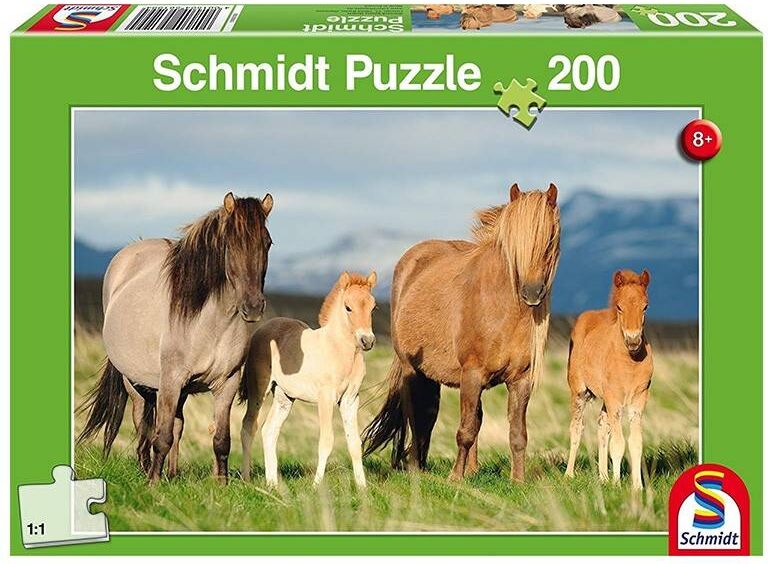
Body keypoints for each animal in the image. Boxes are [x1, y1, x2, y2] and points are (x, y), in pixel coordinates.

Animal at [77, 192, 274, 484]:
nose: (253, 307)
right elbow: (161, 436)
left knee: (177, 425)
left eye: (267, 243)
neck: (210, 323)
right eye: (230, 244)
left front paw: (222, 484)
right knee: (143, 425)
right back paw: (147, 470)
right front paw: (153, 484)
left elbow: (221, 440)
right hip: (134, 383)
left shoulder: (226, 383)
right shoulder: (170, 381)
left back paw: (172, 472)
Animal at [239, 271, 377, 488]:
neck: (339, 350)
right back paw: (247, 479)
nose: (367, 341)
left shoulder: (350, 399)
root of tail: (262, 329)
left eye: (373, 307)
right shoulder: (325, 398)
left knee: (269, 430)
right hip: (258, 389)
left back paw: (272, 483)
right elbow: (327, 441)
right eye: (348, 307)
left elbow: (354, 442)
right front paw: (317, 485)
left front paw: (362, 487)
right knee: (248, 427)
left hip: (284, 397)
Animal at [363, 184, 560, 482]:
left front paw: (518, 480)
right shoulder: (472, 375)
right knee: (418, 416)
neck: (502, 308)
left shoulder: (520, 380)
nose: (532, 293)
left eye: (549, 239)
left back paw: (465, 468)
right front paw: (455, 479)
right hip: (413, 370)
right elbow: (465, 431)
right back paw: (416, 467)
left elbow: (516, 433)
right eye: (514, 244)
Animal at [564, 269, 653, 490]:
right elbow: (619, 443)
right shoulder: (615, 399)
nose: (633, 341)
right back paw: (569, 475)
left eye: (645, 306)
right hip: (579, 392)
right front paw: (617, 485)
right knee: (577, 428)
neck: (629, 363)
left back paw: (603, 476)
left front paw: (637, 487)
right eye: (620, 307)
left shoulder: (639, 399)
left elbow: (635, 442)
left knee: (602, 426)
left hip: (605, 399)